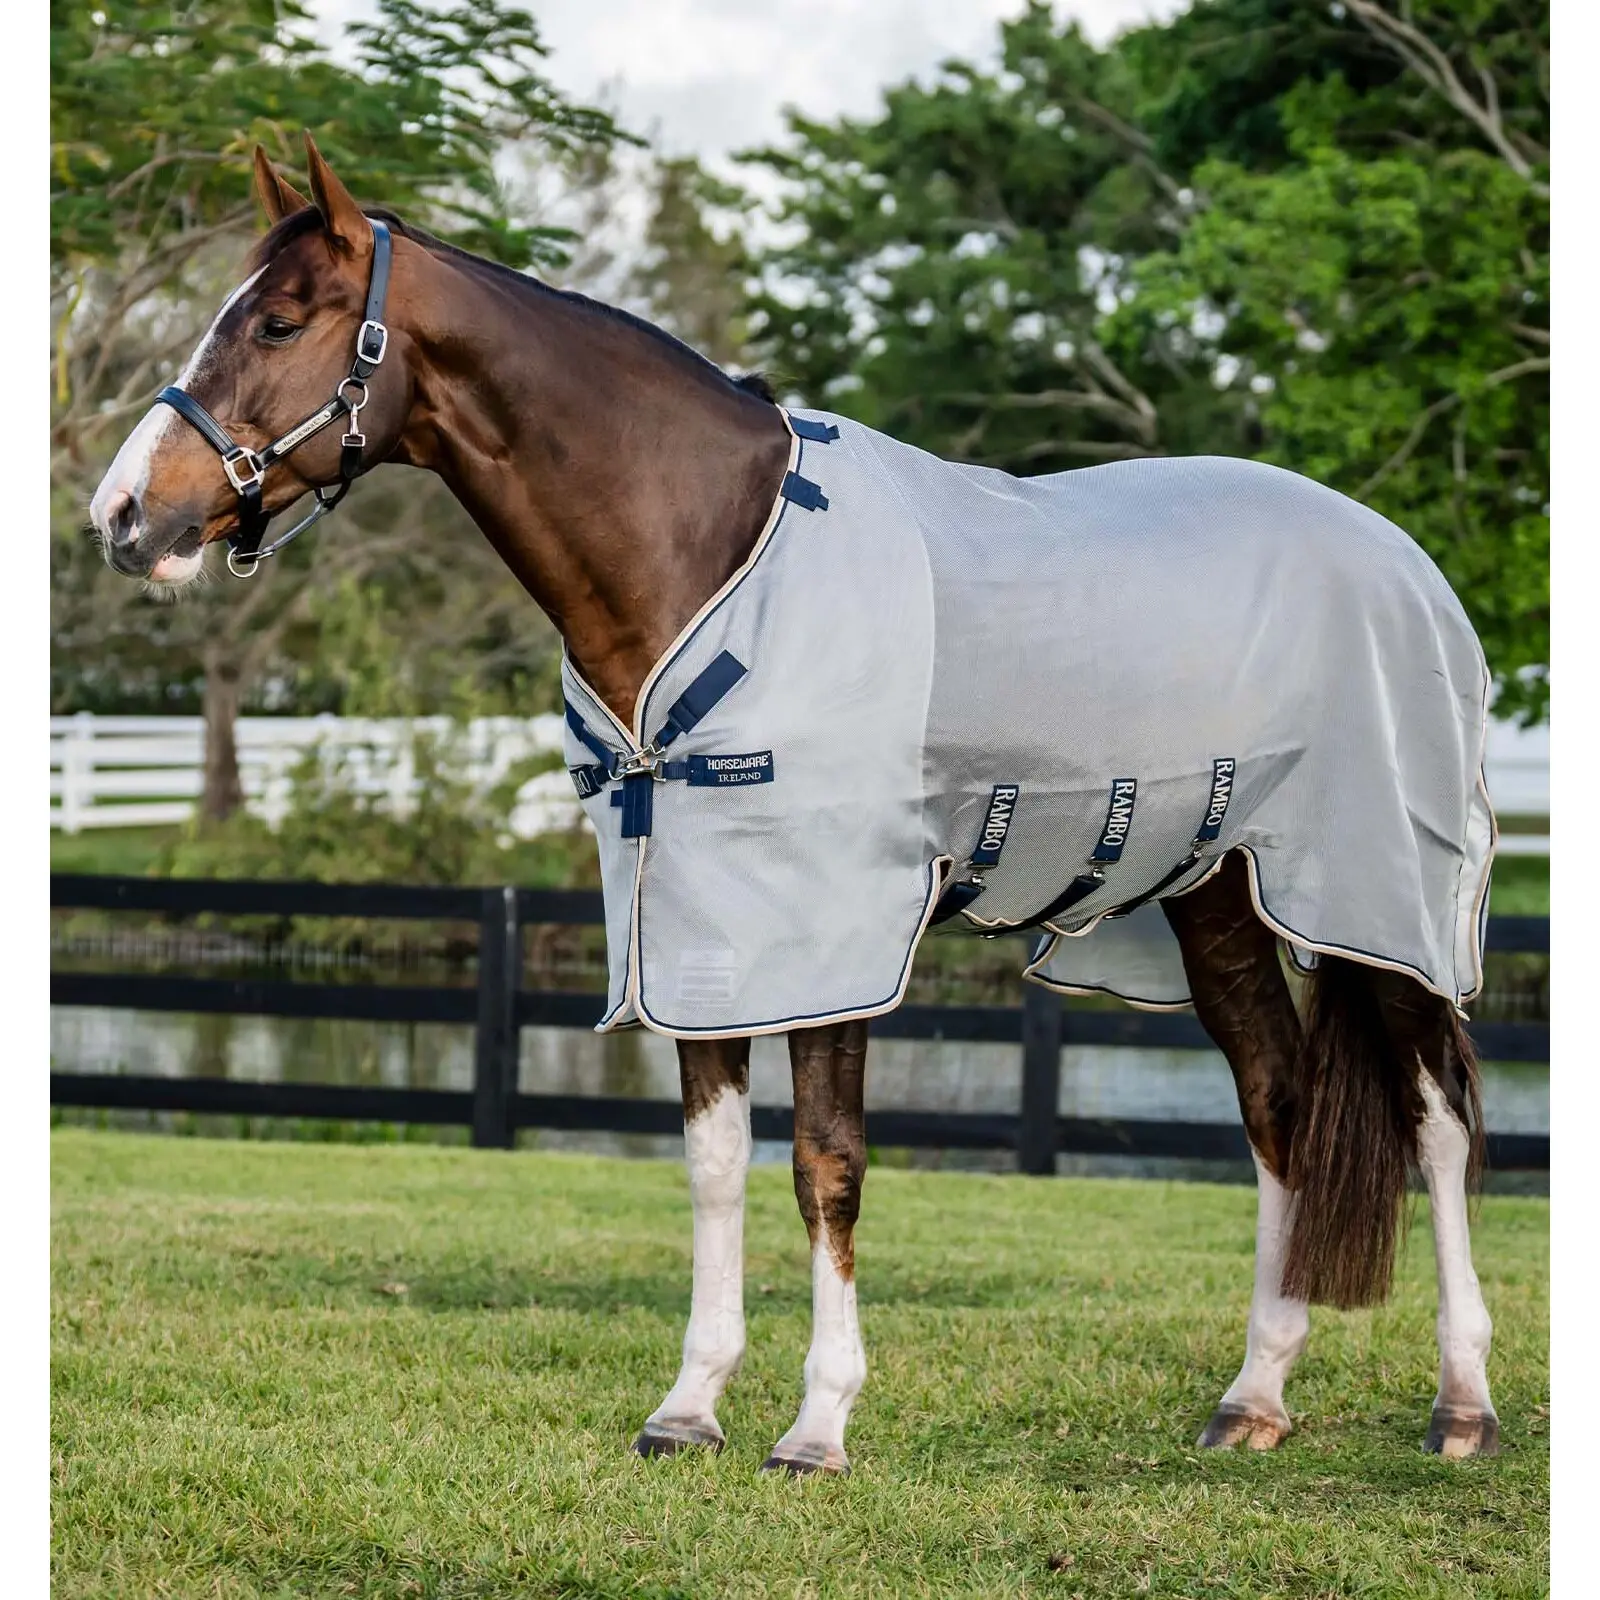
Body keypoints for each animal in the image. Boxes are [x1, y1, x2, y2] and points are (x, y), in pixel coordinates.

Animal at [88, 134, 1501, 1473]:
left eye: (278, 324)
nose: (123, 515)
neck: (706, 547)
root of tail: (1402, 560)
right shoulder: (693, 924)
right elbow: (717, 1165)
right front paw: (687, 1408)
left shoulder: (836, 935)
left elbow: (827, 1164)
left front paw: (817, 1425)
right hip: (1213, 895)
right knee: (1276, 1105)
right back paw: (1253, 1396)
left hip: (1385, 900)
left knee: (1435, 1118)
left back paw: (1462, 1403)